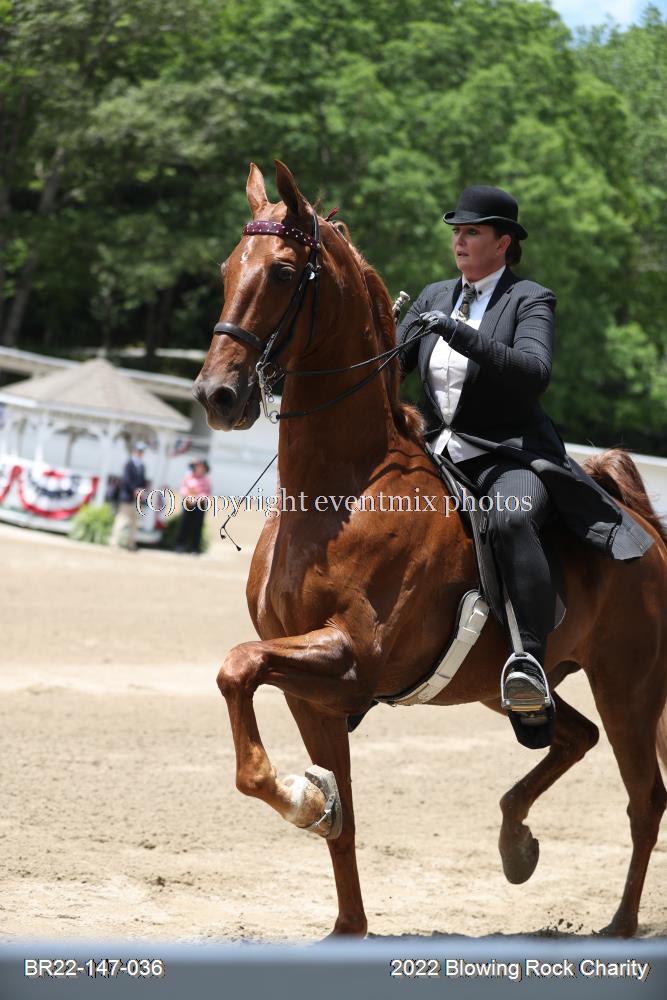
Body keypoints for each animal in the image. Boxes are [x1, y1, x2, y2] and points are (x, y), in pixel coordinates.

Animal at [193, 160, 667, 938]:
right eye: (229, 269)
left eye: (286, 273)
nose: (217, 395)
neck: (340, 495)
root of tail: (644, 529)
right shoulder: (311, 688)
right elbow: (337, 809)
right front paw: (340, 899)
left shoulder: (353, 659)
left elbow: (237, 666)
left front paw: (303, 800)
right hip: (512, 689)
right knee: (573, 736)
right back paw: (515, 841)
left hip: (628, 683)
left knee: (643, 798)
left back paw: (620, 925)